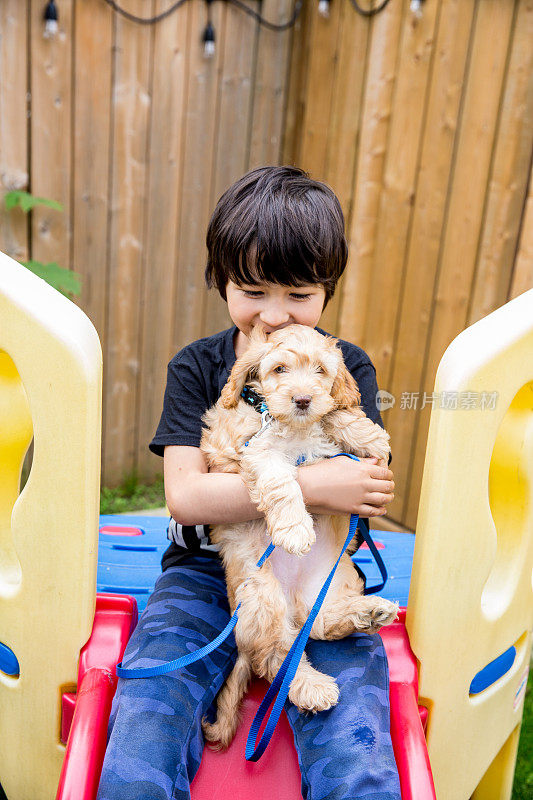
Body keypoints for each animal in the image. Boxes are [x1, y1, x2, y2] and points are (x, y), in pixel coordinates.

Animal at [202, 324, 396, 752]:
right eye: (279, 369)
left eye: (321, 371)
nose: (304, 400)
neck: (292, 425)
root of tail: (292, 601)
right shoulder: (255, 451)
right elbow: (282, 481)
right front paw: (294, 529)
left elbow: (336, 412)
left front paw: (368, 435)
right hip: (261, 597)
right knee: (277, 658)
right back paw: (312, 687)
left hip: (334, 577)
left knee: (319, 623)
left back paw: (367, 612)